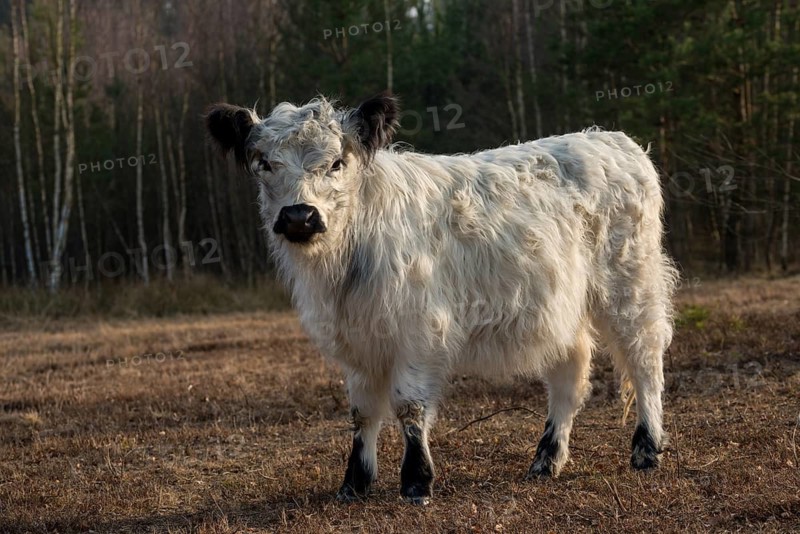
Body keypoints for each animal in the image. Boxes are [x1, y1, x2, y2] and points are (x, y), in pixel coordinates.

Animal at [205, 93, 677, 505]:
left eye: (336, 162)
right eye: (265, 163)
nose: (299, 216)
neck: (342, 268)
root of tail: (611, 139)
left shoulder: (418, 331)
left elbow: (409, 406)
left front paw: (417, 482)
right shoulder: (357, 341)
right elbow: (363, 411)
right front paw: (353, 484)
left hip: (630, 284)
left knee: (645, 361)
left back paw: (647, 449)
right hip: (561, 307)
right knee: (570, 375)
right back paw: (545, 461)